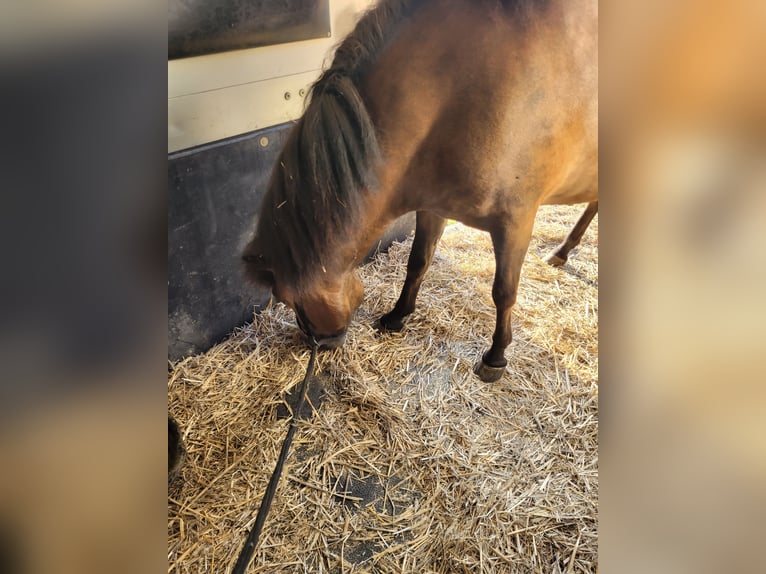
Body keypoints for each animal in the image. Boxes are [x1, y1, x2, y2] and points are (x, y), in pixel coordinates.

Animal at [246, 0, 600, 382]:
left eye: (286, 298)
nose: (320, 345)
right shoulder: (433, 207)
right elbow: (418, 262)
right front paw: (397, 316)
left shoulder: (516, 223)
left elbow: (504, 291)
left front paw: (495, 357)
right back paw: (563, 251)